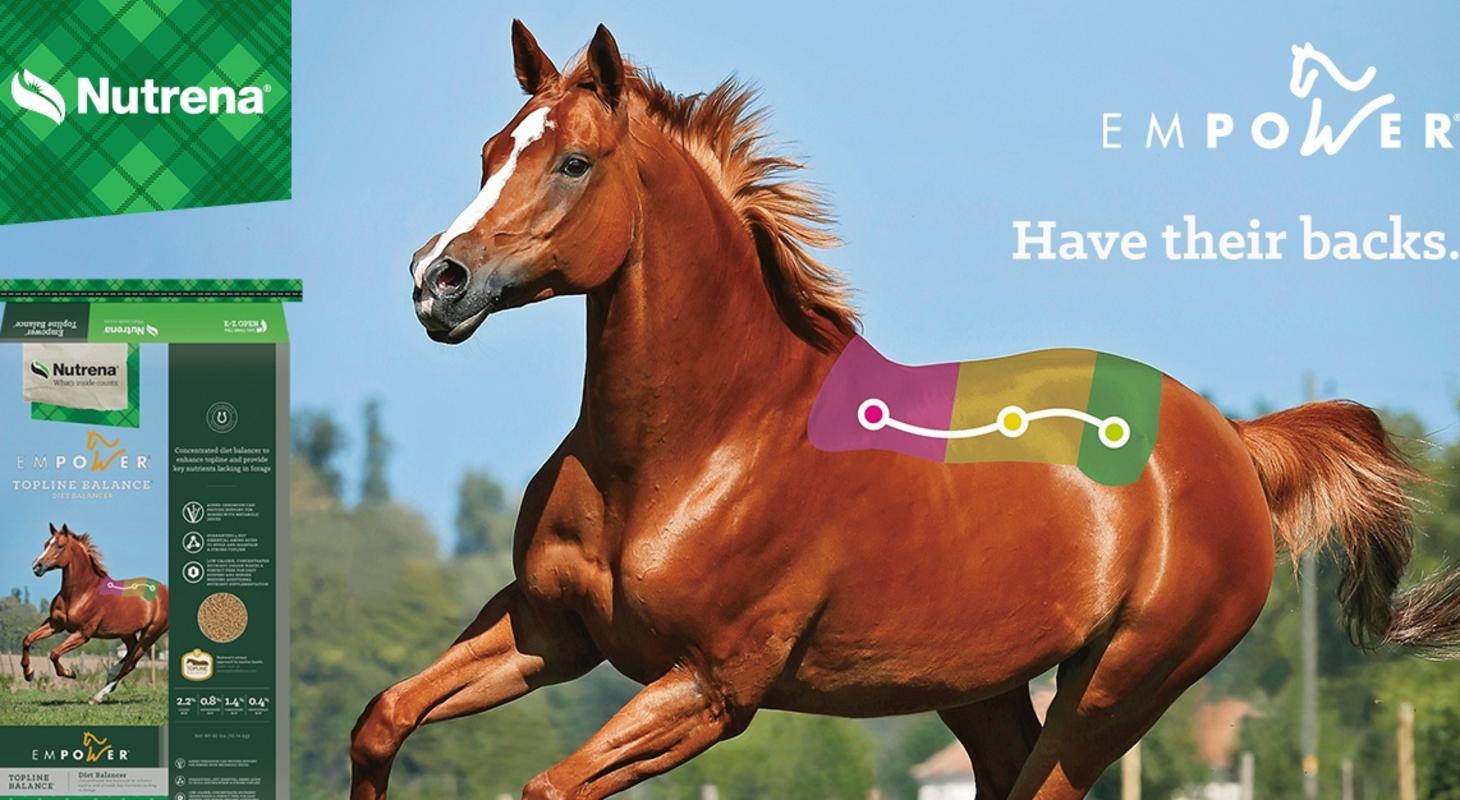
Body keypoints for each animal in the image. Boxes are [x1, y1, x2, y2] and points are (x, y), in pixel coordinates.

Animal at [23, 523, 170, 705]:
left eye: (60, 546)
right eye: (45, 544)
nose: (37, 566)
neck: (82, 593)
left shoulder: (83, 634)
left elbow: (54, 653)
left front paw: (70, 673)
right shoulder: (55, 624)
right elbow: (28, 639)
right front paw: (28, 674)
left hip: (151, 634)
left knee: (131, 663)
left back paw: (97, 696)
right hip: (127, 633)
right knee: (130, 656)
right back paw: (110, 675)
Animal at [351, 21, 1460, 799]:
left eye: (573, 163)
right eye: (490, 150)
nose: (436, 280)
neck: (694, 448)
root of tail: (1230, 441)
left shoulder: (710, 688)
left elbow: (543, 783)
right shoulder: (547, 628)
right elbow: (381, 717)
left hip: (1119, 684)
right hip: (984, 689)